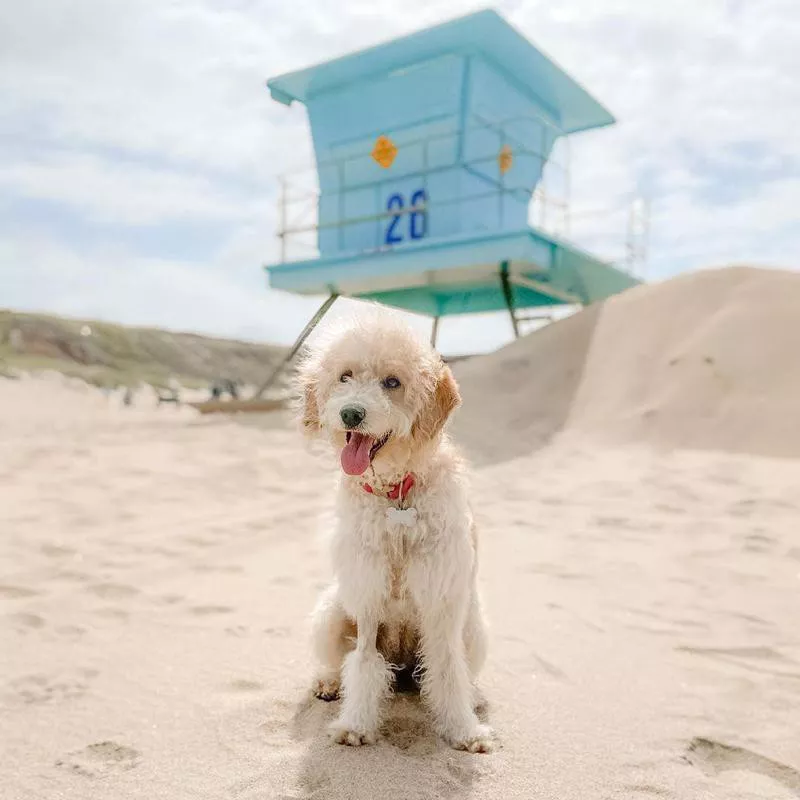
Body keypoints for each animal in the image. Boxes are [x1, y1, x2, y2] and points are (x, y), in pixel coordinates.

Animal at [296, 310, 490, 752]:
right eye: (345, 376)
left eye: (393, 382)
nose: (351, 414)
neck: (395, 493)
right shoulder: (367, 592)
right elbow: (363, 661)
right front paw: (355, 724)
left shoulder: (442, 599)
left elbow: (448, 668)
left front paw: (463, 730)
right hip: (331, 610)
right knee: (339, 661)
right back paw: (328, 683)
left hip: (474, 623)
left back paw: (473, 698)